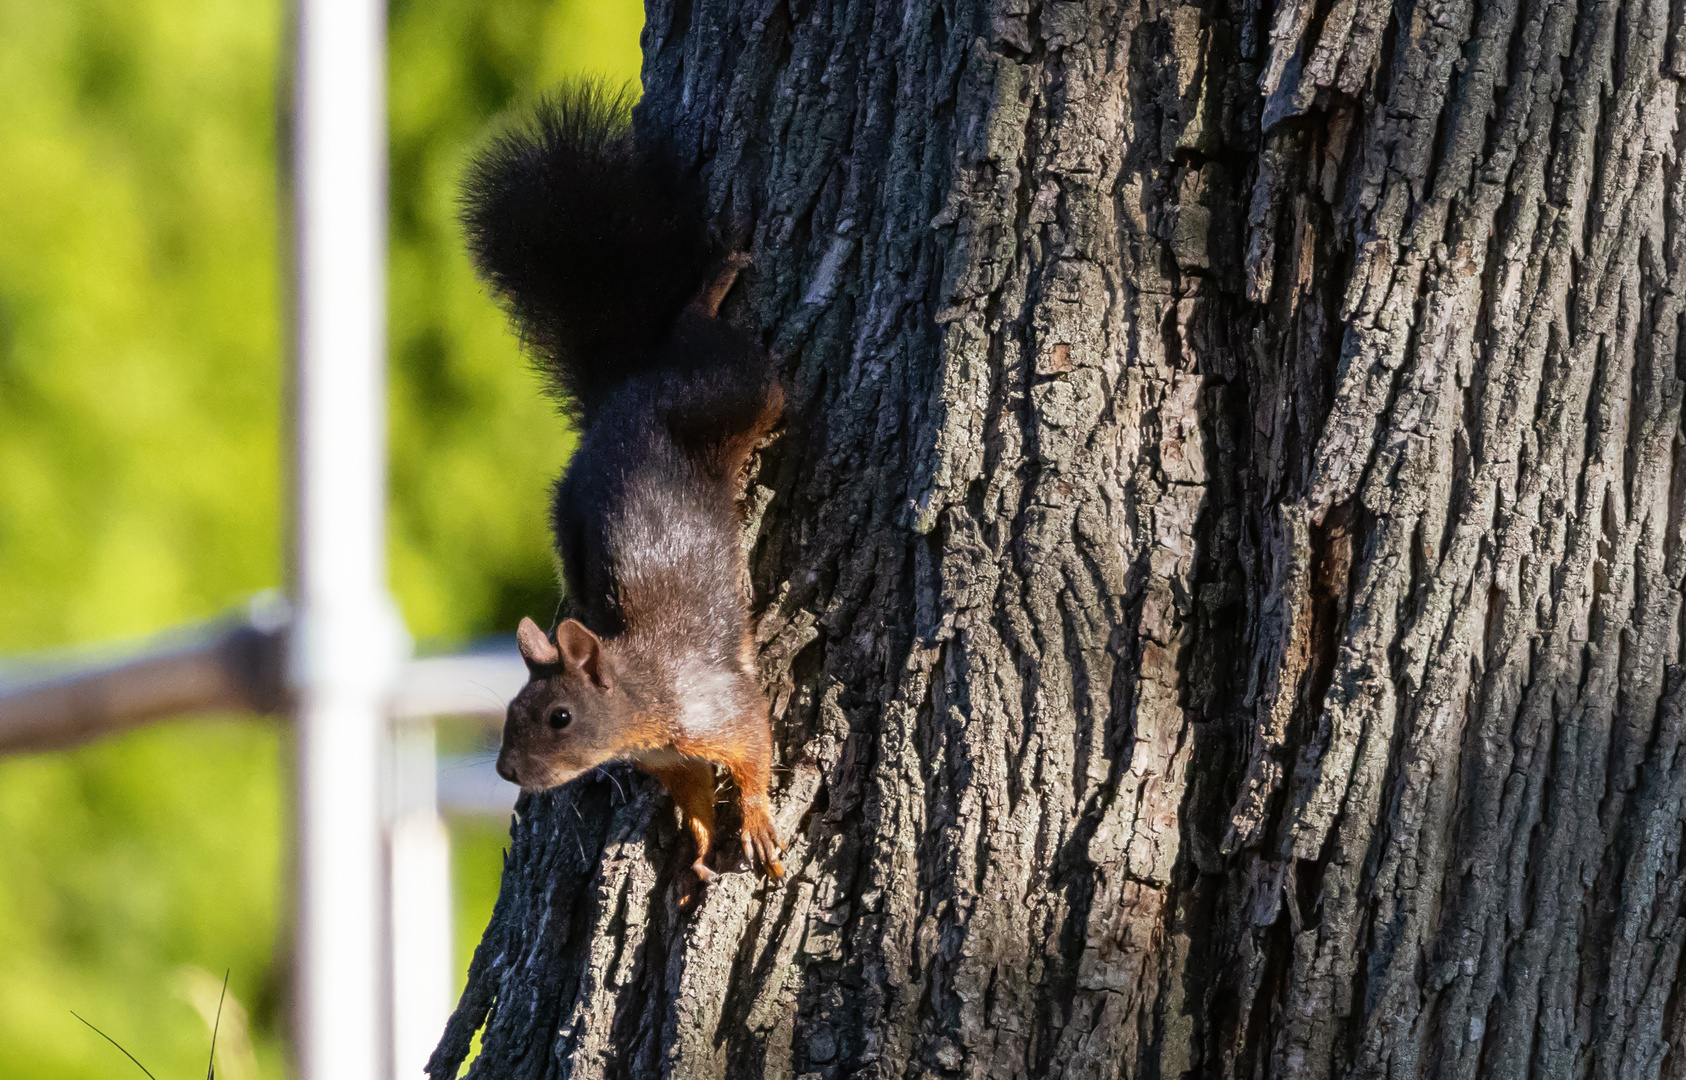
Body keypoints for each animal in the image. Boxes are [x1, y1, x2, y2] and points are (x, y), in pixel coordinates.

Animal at [468, 82, 782, 876]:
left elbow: (755, 750)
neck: (643, 704)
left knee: (717, 347)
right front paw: (697, 839)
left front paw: (757, 822)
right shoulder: (671, 759)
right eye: (511, 710)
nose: (507, 772)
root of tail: (623, 396)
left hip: (730, 387)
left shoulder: (720, 705)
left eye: (560, 716)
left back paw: (711, 287)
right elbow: (693, 793)